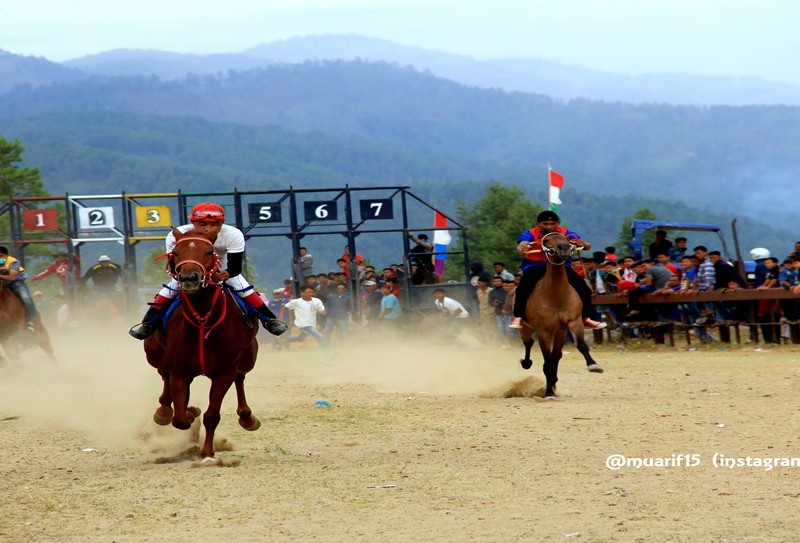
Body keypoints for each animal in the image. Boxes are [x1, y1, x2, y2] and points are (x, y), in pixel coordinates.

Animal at [141, 225, 260, 460]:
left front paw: (207, 452)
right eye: (175, 252)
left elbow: (212, 414)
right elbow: (180, 419)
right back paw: (164, 410)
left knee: (240, 377)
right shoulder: (180, 370)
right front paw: (187, 412)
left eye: (209, 252)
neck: (204, 319)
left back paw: (247, 417)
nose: (189, 277)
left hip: (248, 357)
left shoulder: (224, 371)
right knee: (163, 375)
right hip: (154, 353)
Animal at [516, 234, 604, 400]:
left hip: (559, 333)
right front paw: (549, 392)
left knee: (556, 355)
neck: (555, 294)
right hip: (526, 327)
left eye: (566, 238)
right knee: (528, 343)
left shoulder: (573, 322)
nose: (564, 248)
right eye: (546, 241)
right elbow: (547, 362)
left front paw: (593, 365)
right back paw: (527, 363)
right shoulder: (543, 331)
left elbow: (581, 345)